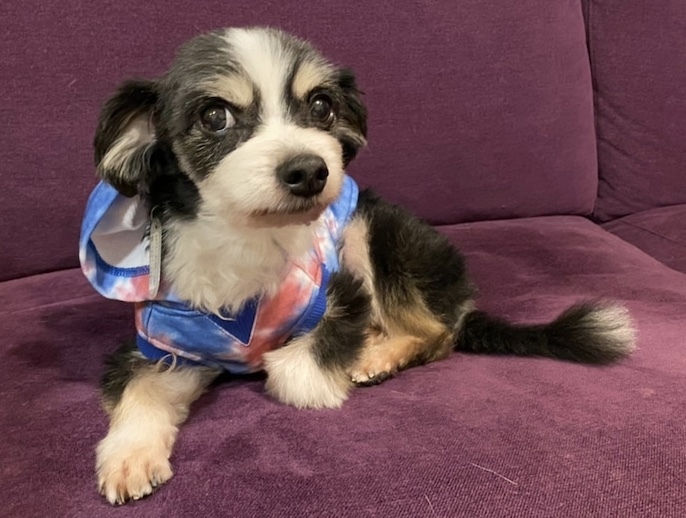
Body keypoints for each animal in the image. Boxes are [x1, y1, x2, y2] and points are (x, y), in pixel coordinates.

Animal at [80, 27, 636, 505]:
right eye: (215, 116)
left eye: (321, 106)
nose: (310, 170)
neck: (247, 240)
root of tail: (462, 295)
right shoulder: (166, 342)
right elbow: (141, 388)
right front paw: (129, 457)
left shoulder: (340, 294)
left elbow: (297, 371)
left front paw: (327, 362)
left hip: (370, 227)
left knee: (436, 332)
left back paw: (378, 354)